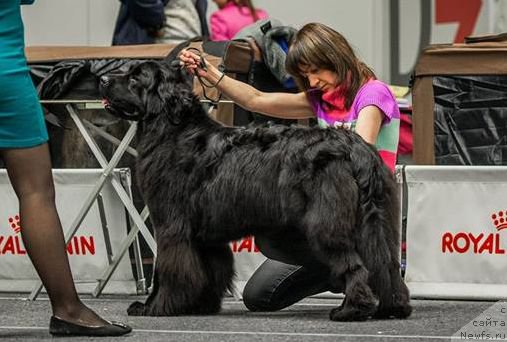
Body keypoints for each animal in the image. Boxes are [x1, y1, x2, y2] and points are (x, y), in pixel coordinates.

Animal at [100, 60, 412, 320]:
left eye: (135, 78)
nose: (102, 79)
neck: (174, 129)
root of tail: (355, 149)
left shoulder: (171, 226)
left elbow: (166, 270)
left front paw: (154, 306)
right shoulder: (206, 236)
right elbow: (210, 270)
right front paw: (200, 305)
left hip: (327, 223)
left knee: (354, 264)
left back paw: (350, 310)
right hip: (375, 222)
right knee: (385, 263)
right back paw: (392, 307)